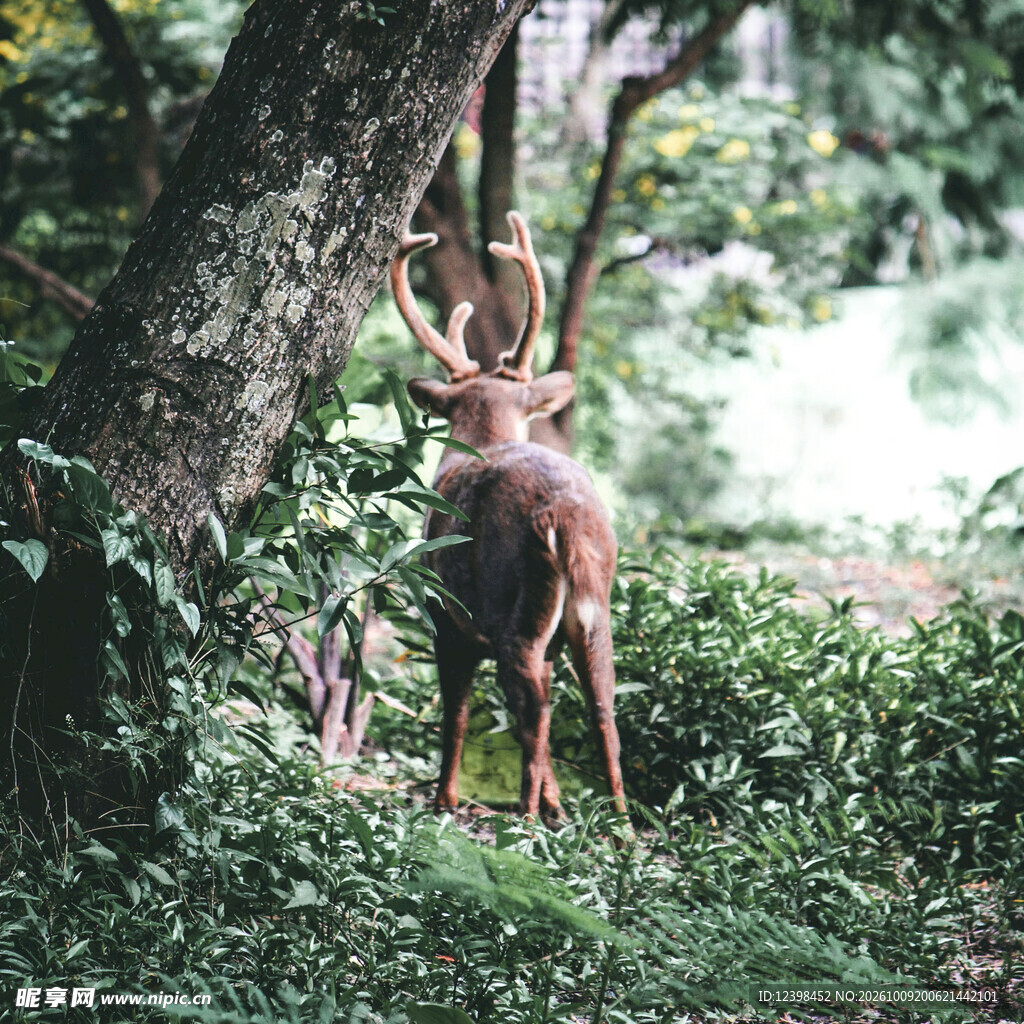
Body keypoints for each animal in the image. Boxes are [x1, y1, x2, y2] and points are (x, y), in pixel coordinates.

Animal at [391, 210, 626, 821]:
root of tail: (564, 517)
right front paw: (556, 800)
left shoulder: (447, 618)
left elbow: (455, 710)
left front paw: (444, 798)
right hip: (592, 604)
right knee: (602, 700)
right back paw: (616, 818)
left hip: (512, 601)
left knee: (533, 705)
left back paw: (526, 814)